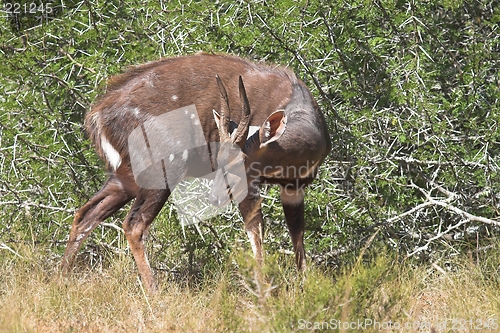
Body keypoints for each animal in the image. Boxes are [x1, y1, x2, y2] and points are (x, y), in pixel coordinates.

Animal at [60, 52, 332, 290]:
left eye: (239, 161)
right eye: (219, 159)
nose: (215, 198)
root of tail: (97, 117)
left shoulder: (294, 187)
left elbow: (297, 236)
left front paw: (304, 287)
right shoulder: (253, 187)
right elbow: (256, 233)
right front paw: (265, 291)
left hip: (124, 177)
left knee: (86, 214)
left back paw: (60, 280)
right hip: (162, 170)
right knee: (133, 223)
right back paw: (154, 292)